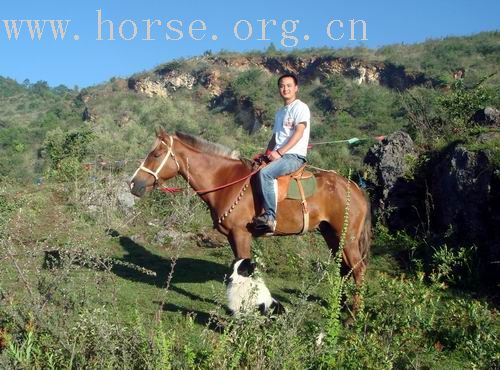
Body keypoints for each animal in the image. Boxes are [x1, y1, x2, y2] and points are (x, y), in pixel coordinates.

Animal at [129, 129, 372, 310]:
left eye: (156, 154)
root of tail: (355, 188)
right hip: (331, 236)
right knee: (344, 269)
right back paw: (338, 306)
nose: (133, 184)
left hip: (347, 238)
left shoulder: (241, 234)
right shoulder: (232, 236)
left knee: (359, 270)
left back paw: (352, 316)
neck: (226, 181)